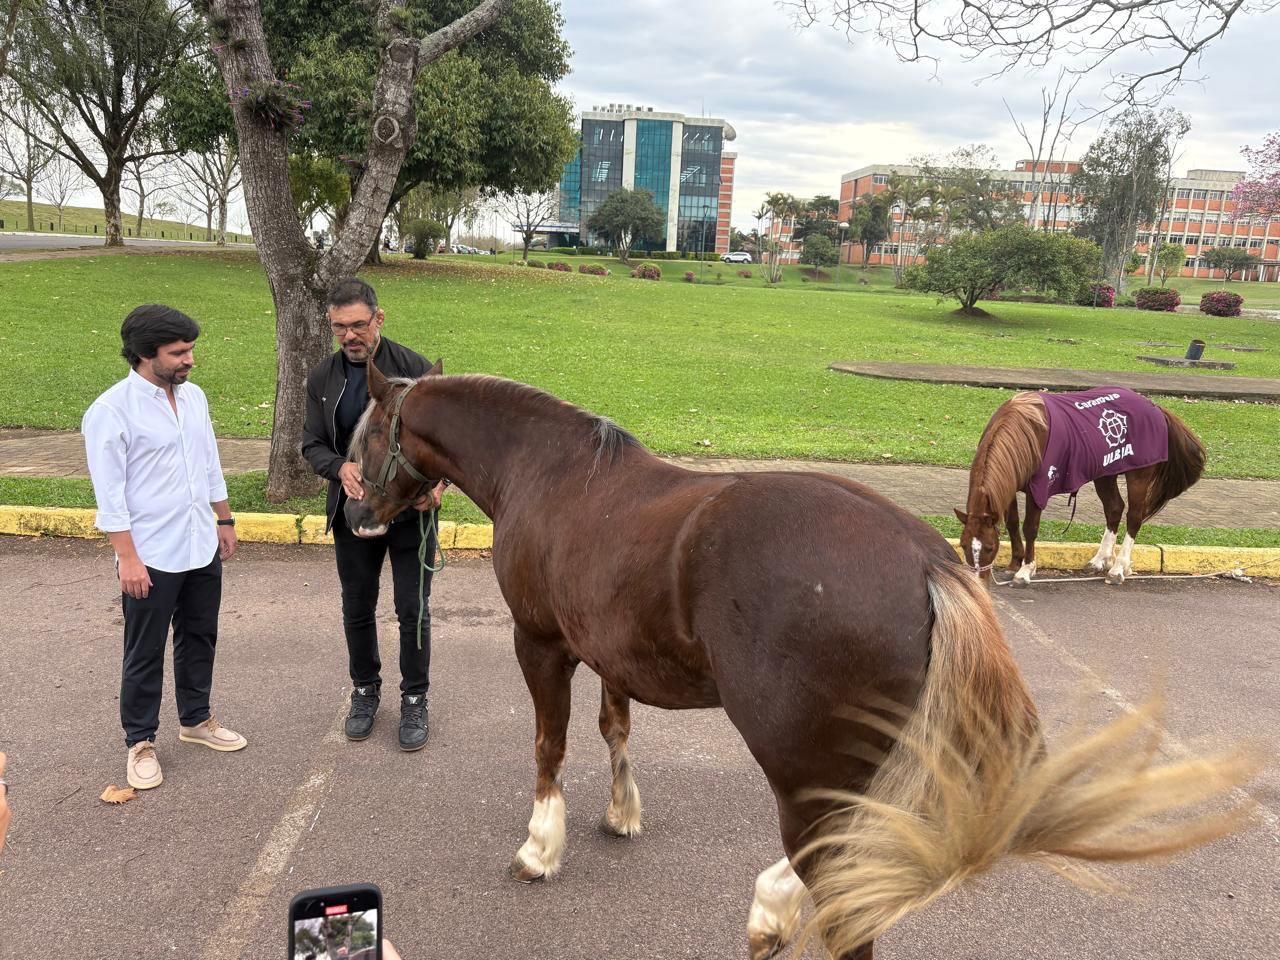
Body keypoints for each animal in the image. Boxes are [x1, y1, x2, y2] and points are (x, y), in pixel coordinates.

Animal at [956, 389, 1206, 585]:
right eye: (963, 545)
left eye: (990, 548)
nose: (977, 581)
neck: (1028, 432)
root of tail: (1155, 408)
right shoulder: (1009, 487)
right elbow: (1012, 523)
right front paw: (1014, 563)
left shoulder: (1039, 489)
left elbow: (1029, 528)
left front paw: (1025, 570)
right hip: (1106, 473)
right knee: (1114, 508)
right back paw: (1100, 560)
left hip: (1139, 476)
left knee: (1134, 516)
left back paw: (1119, 567)